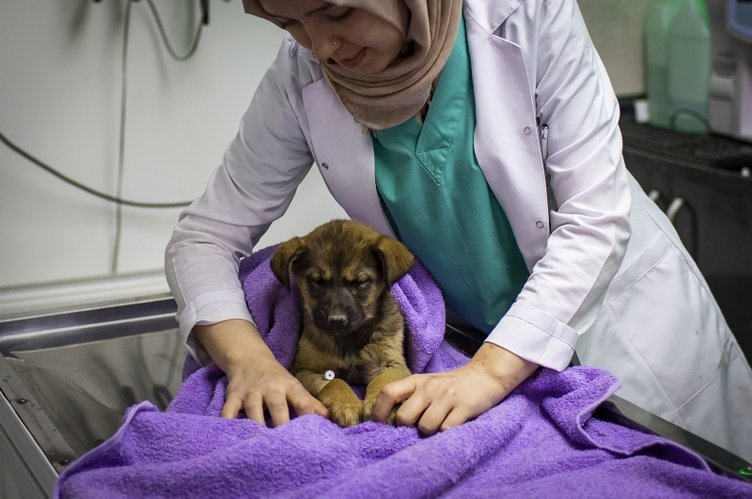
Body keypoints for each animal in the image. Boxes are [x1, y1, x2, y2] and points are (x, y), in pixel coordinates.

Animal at [270, 221, 414, 428]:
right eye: (317, 281)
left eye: (361, 281)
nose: (336, 320)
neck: (349, 339)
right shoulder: (302, 370)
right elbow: (334, 382)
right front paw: (347, 404)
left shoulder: (393, 363)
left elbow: (384, 381)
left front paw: (380, 402)